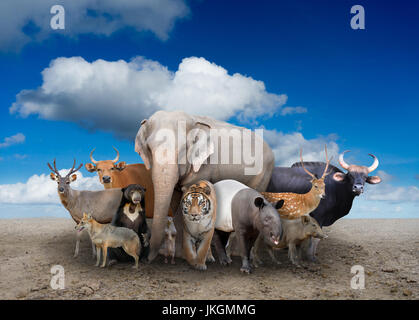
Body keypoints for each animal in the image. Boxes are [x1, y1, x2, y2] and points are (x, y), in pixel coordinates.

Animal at [135, 110, 276, 262]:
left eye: (183, 149)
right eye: (149, 148)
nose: (146, 259)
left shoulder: (205, 166)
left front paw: (197, 257)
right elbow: (175, 198)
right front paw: (180, 254)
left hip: (264, 174)